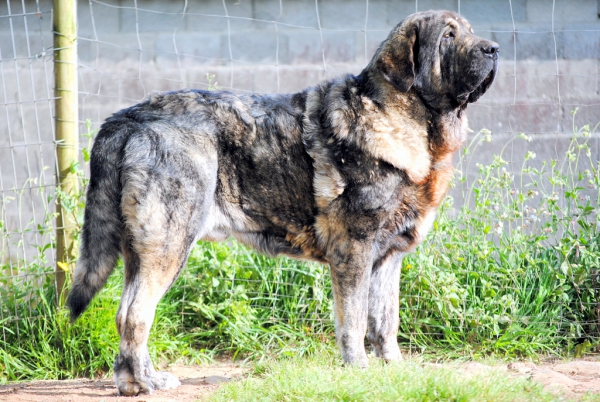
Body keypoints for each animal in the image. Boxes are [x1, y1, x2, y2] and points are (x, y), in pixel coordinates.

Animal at [67, 9, 496, 396]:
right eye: (448, 36)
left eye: (468, 31)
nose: (493, 49)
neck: (405, 118)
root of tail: (129, 117)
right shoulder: (354, 251)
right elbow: (354, 321)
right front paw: (358, 369)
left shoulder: (388, 258)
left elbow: (385, 321)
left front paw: (393, 369)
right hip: (169, 243)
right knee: (135, 314)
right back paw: (146, 383)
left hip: (141, 251)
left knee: (129, 311)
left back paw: (135, 382)